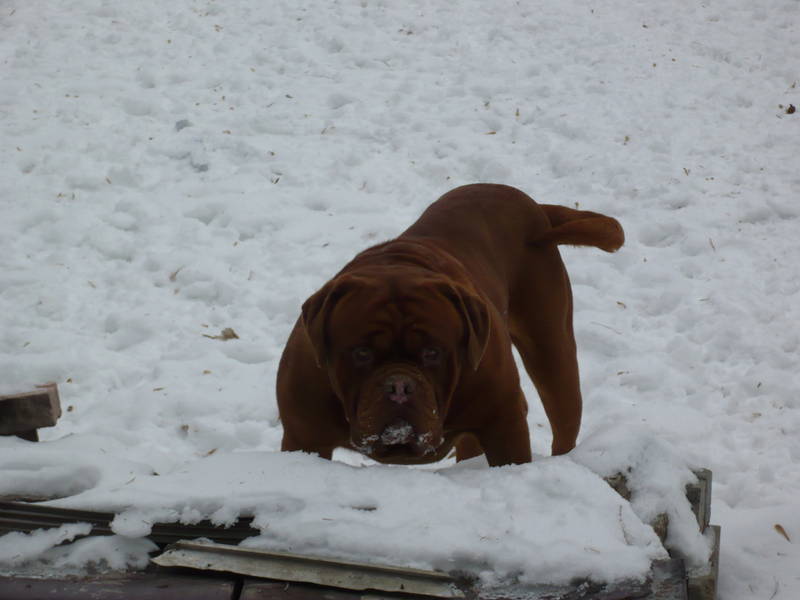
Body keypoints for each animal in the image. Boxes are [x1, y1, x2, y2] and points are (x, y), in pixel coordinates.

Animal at [278, 185, 620, 466]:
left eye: (433, 352)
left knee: (563, 417)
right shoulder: (303, 437)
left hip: (551, 350)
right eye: (361, 353)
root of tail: (534, 207)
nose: (399, 386)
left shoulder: (504, 423)